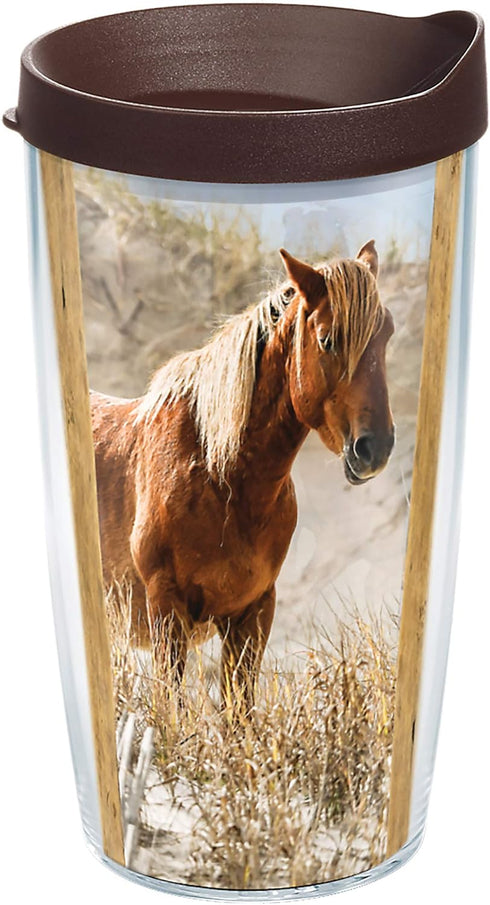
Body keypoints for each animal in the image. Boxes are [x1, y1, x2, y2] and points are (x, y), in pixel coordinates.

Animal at [91, 241, 395, 715]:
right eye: (327, 339)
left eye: (388, 334)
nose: (374, 448)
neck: (218, 476)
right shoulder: (167, 610)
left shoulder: (252, 612)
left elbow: (239, 715)